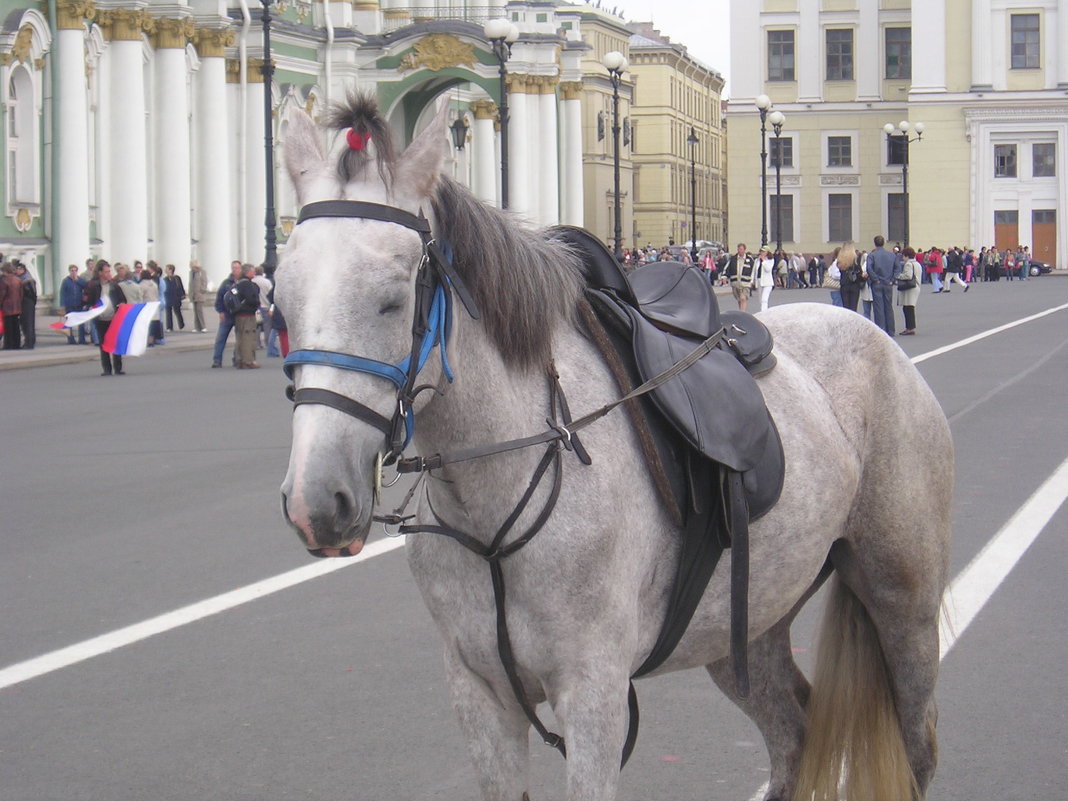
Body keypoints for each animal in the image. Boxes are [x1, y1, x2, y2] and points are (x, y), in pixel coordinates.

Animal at [275, 95, 952, 801]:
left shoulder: (593, 696)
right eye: (281, 300)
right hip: (747, 627)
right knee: (793, 732)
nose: (316, 502)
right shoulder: (480, 695)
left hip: (902, 600)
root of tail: (865, 328)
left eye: (392, 299)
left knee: (917, 744)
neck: (498, 503)